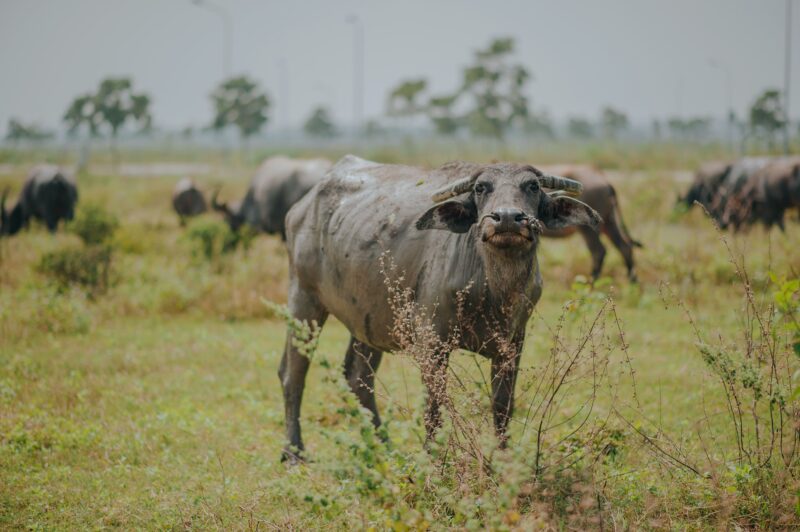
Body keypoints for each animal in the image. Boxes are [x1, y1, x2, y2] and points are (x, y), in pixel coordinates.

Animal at [280, 155, 600, 462]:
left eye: (532, 186)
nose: (508, 218)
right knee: (293, 374)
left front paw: (503, 458)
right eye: (481, 188)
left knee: (358, 377)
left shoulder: (512, 343)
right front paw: (433, 459)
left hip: (369, 321)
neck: (492, 290)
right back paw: (294, 452)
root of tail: (300, 208)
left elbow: (502, 405)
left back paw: (384, 447)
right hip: (304, 301)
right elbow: (434, 407)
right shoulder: (431, 342)